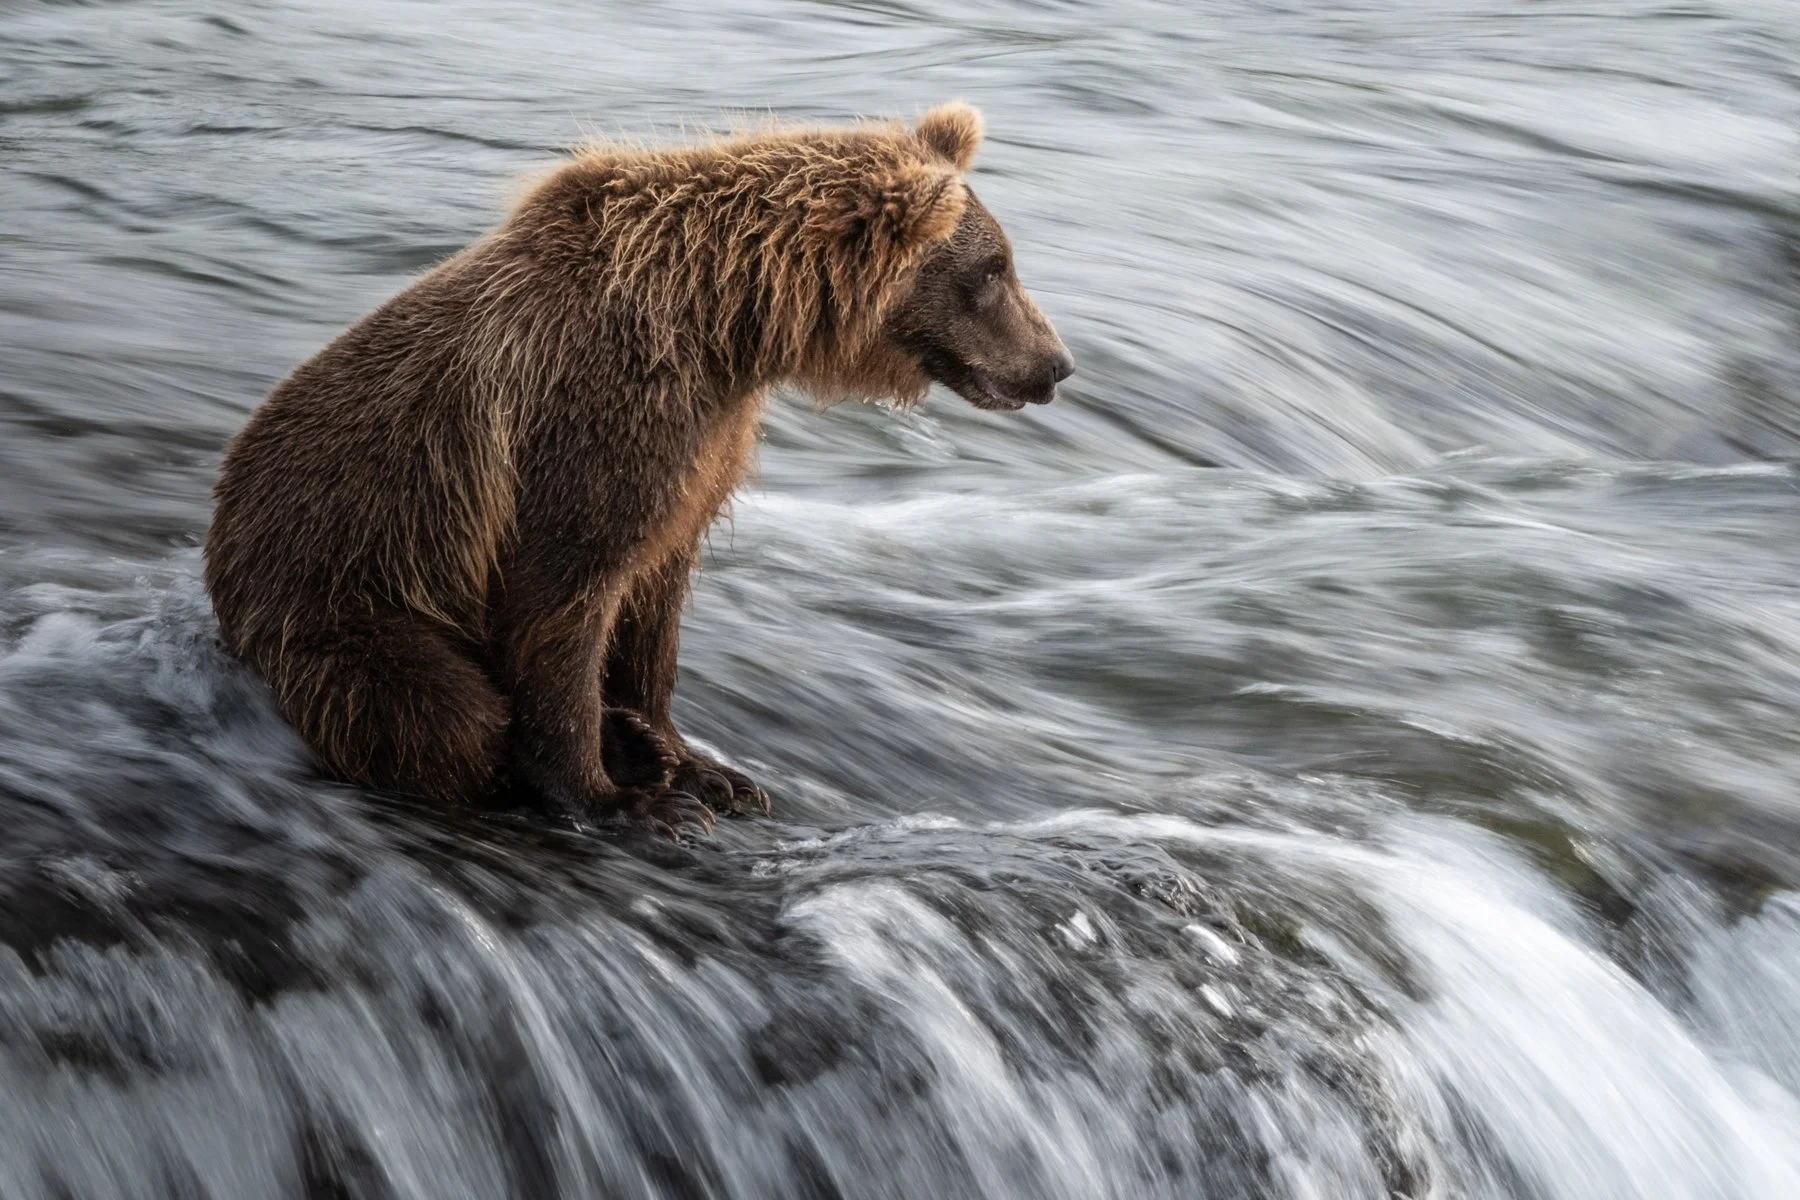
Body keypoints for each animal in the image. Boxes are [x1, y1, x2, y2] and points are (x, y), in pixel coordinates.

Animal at [204, 102, 1074, 836]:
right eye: (994, 269)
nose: (1057, 364)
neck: (723, 327)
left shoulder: (703, 446)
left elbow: (654, 599)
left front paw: (694, 762)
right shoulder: (594, 418)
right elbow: (566, 596)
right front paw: (622, 798)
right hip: (345, 597)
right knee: (442, 711)